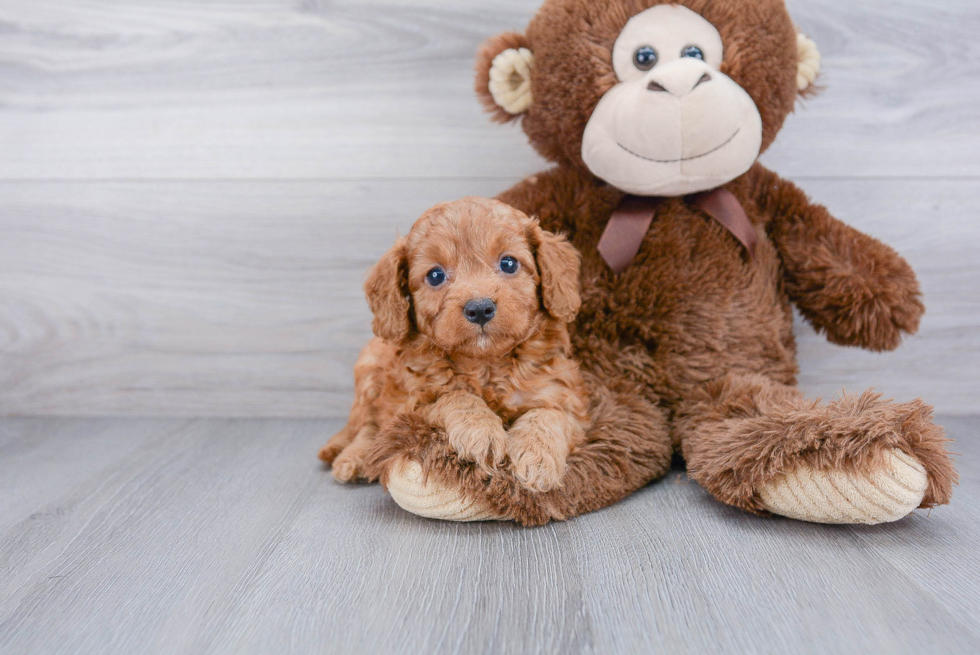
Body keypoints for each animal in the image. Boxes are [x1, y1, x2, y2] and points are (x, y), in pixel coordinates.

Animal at [320, 197, 588, 494]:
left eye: (509, 263)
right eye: (435, 275)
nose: (480, 308)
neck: (486, 364)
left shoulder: (564, 396)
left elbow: (548, 415)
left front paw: (537, 457)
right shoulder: (411, 405)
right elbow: (455, 396)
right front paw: (481, 431)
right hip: (369, 373)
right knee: (366, 426)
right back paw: (353, 459)